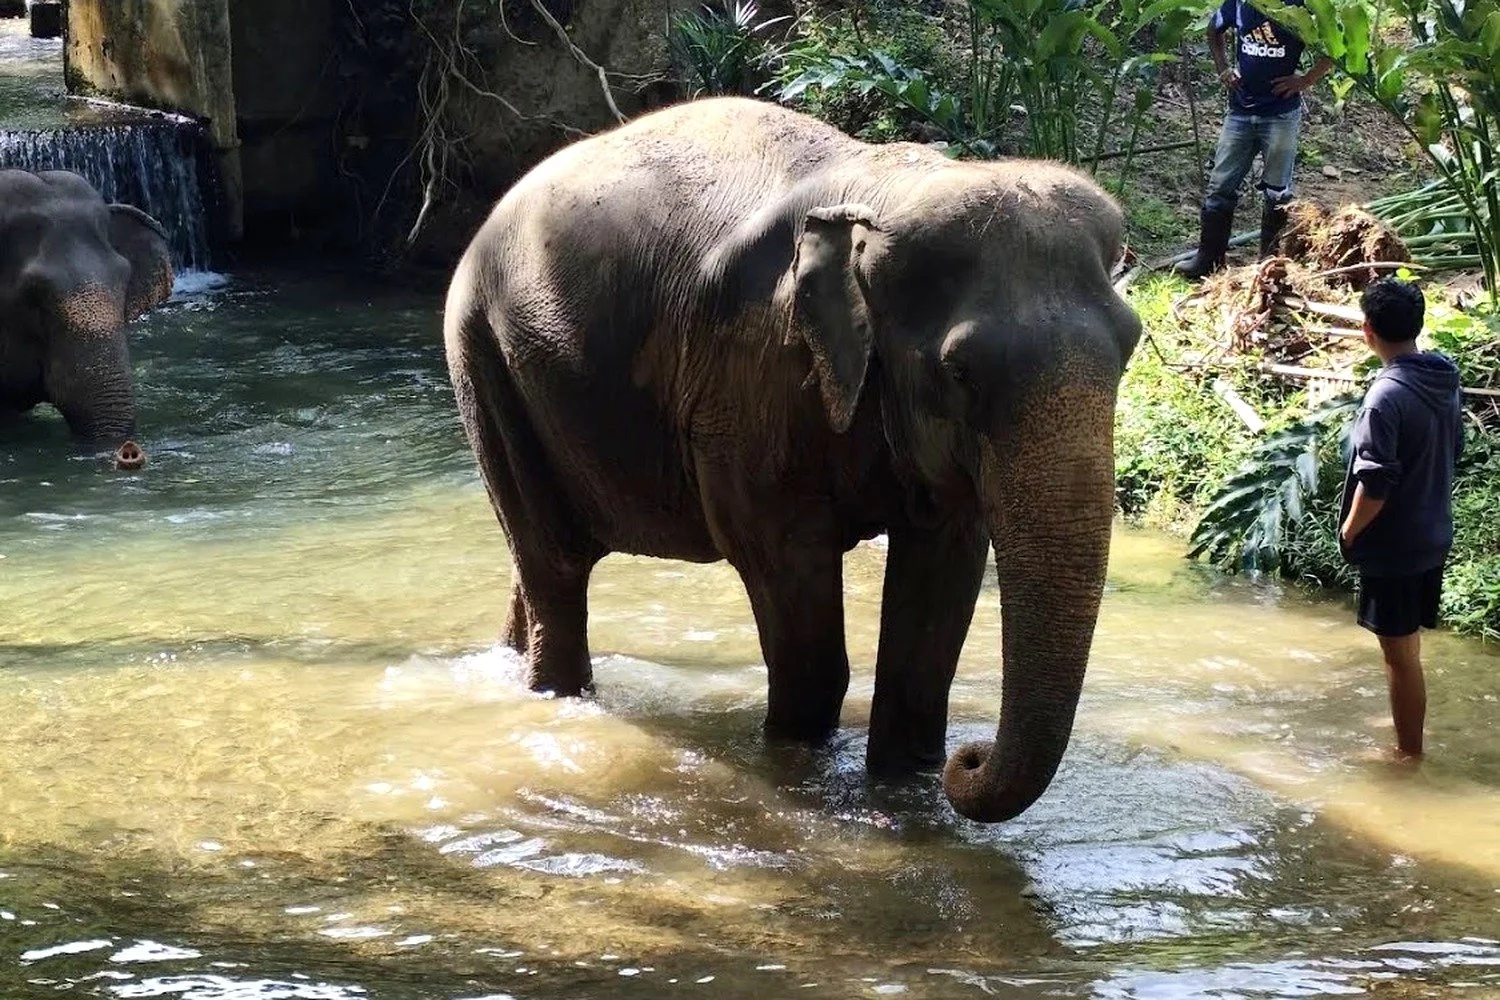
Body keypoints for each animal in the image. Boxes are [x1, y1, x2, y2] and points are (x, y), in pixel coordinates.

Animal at [443, 97, 1141, 823]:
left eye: (1132, 346)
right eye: (960, 373)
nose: (967, 761)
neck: (890, 191)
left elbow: (934, 605)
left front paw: (909, 786)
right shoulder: (752, 374)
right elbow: (794, 596)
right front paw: (796, 771)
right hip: (483, 360)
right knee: (553, 566)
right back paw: (555, 695)